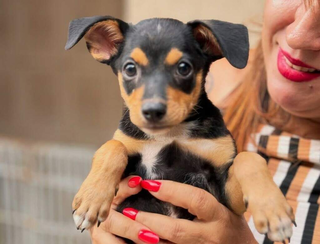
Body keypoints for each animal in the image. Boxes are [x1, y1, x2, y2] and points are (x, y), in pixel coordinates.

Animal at [65, 15, 296, 242]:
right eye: (130, 69)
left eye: (184, 68)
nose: (153, 111)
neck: (170, 133)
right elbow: (113, 146)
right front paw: (91, 200)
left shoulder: (226, 197)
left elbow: (248, 158)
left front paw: (274, 211)